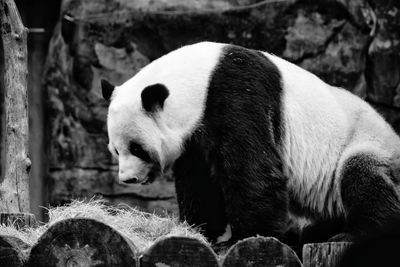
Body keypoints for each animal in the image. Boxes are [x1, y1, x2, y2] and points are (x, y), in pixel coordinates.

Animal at [101, 41, 400, 247]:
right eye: (116, 150)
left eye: (136, 148)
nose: (127, 179)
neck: (198, 78)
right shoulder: (194, 136)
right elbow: (199, 181)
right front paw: (201, 231)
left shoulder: (237, 92)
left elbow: (252, 168)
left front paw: (246, 237)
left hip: (369, 146)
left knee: (362, 177)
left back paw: (353, 233)